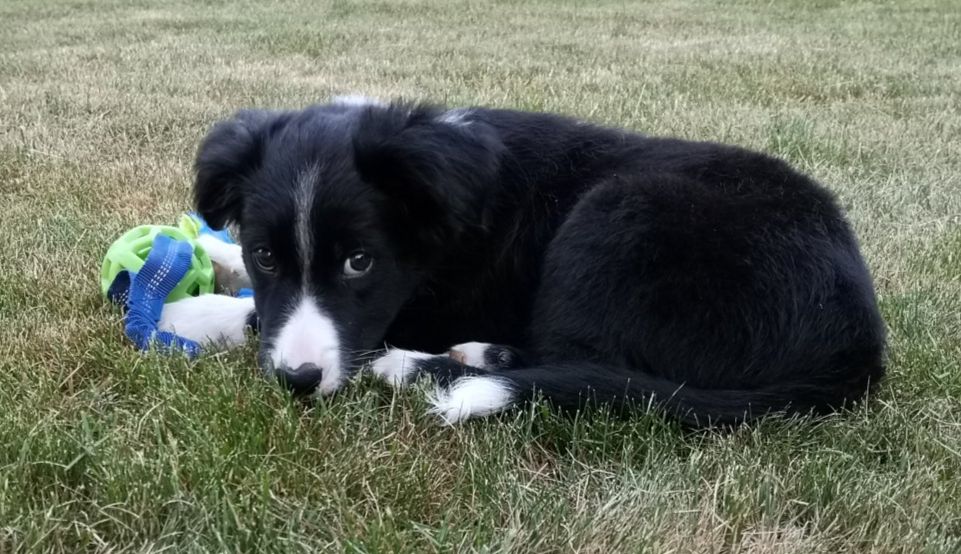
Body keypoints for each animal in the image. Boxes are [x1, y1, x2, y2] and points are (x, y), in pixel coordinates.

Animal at [158, 95, 886, 426]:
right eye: (265, 254)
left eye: (360, 263)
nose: (298, 381)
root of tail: (856, 346)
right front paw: (214, 253)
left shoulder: (413, 305)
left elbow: (269, 320)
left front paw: (187, 314)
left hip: (616, 214)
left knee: (581, 362)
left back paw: (428, 365)